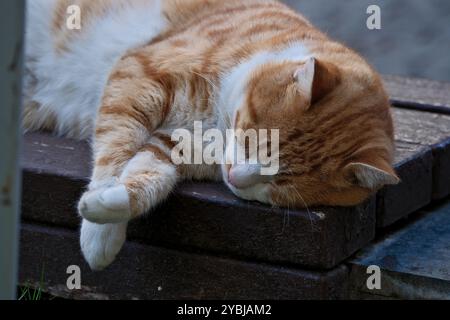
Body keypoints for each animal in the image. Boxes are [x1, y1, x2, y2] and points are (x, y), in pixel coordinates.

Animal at [22, 0, 400, 270]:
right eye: (249, 139)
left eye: (280, 185)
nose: (234, 176)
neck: (215, 126)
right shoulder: (139, 74)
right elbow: (115, 151)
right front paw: (98, 229)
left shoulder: (169, 144)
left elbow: (147, 178)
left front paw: (108, 209)